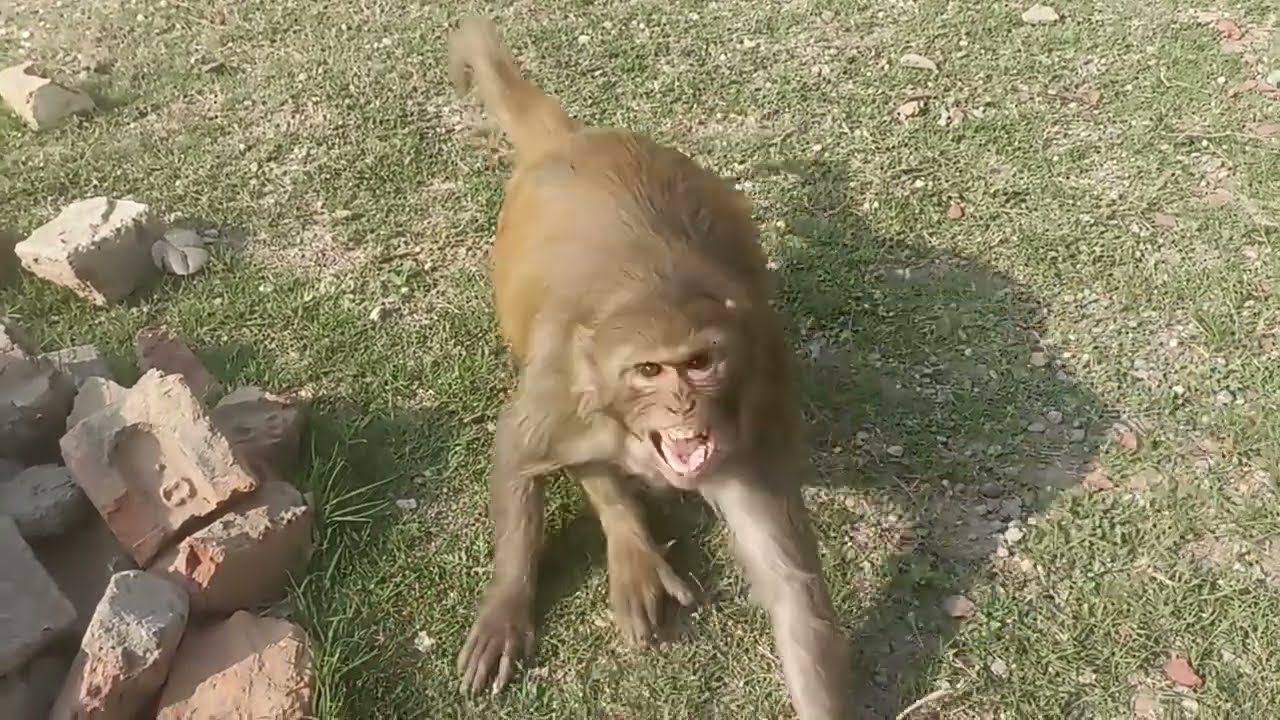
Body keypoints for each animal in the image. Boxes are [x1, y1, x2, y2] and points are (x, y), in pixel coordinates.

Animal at [447, 16, 853, 720]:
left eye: (700, 363)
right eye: (649, 372)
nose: (683, 404)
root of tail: (575, 140)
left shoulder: (758, 424)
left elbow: (792, 590)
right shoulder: (565, 396)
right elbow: (516, 454)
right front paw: (506, 606)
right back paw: (628, 537)